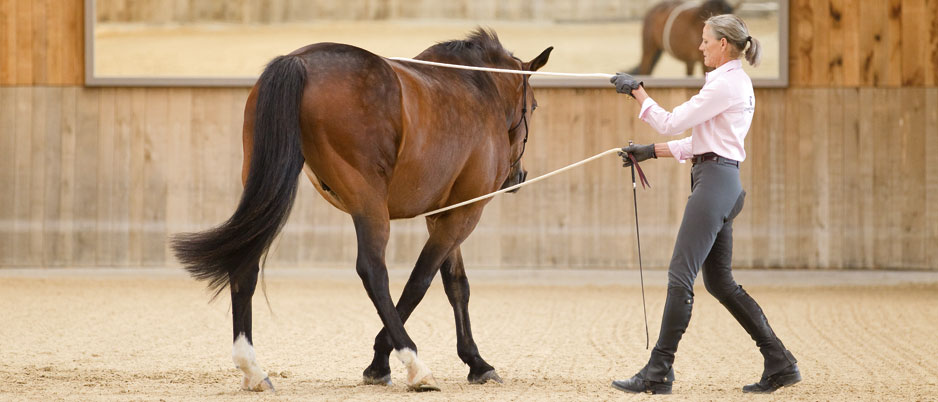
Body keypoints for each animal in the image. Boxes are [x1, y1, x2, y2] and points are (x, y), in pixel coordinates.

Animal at [170, 29, 548, 394]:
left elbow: (456, 285)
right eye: (533, 105)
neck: (476, 90)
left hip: (262, 189)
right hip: (369, 204)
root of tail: (298, 61)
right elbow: (420, 281)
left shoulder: (443, 214)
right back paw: (416, 367)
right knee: (373, 271)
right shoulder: (465, 212)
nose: (518, 177)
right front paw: (381, 362)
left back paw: (252, 369)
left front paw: (476, 363)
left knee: (245, 262)